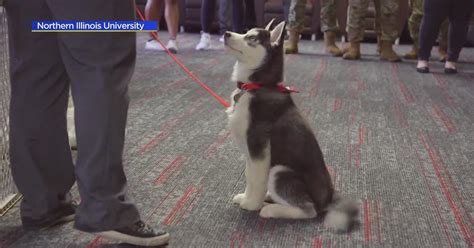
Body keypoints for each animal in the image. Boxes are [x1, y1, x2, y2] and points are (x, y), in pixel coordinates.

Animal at [224, 20, 358, 232]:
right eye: (245, 32)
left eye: (251, 38)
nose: (226, 33)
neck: (259, 86)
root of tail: (328, 196)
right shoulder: (250, 151)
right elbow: (249, 174)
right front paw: (247, 196)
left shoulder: (258, 147)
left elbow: (255, 178)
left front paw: (252, 203)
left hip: (280, 171)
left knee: (309, 210)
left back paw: (270, 209)